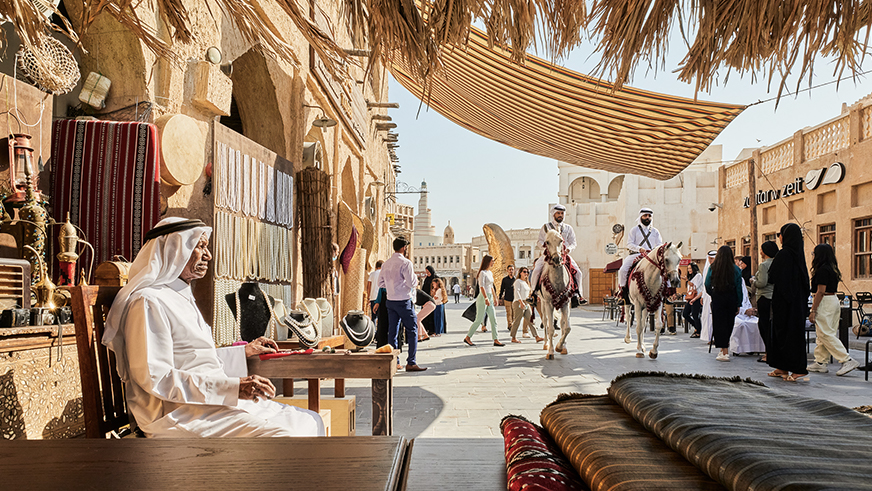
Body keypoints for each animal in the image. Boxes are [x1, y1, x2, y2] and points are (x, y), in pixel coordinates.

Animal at [536, 231, 576, 362]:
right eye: (547, 242)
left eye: (561, 241)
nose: (557, 259)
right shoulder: (549, 303)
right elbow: (550, 328)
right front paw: (551, 351)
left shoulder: (566, 303)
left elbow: (566, 327)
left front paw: (560, 347)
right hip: (543, 304)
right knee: (545, 322)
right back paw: (545, 344)